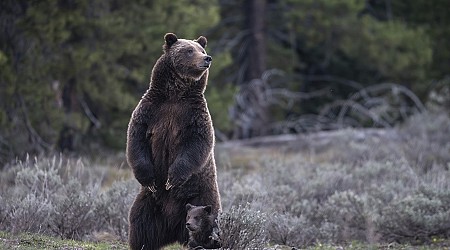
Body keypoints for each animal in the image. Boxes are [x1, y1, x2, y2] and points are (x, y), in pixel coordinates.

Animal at [126, 33, 221, 250]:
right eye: (189, 50)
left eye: (201, 49)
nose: (207, 58)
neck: (175, 94)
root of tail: (173, 228)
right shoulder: (150, 110)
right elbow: (136, 140)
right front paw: (150, 179)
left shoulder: (194, 115)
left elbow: (197, 144)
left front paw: (172, 178)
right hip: (150, 203)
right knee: (140, 222)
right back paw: (142, 244)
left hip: (202, 196)